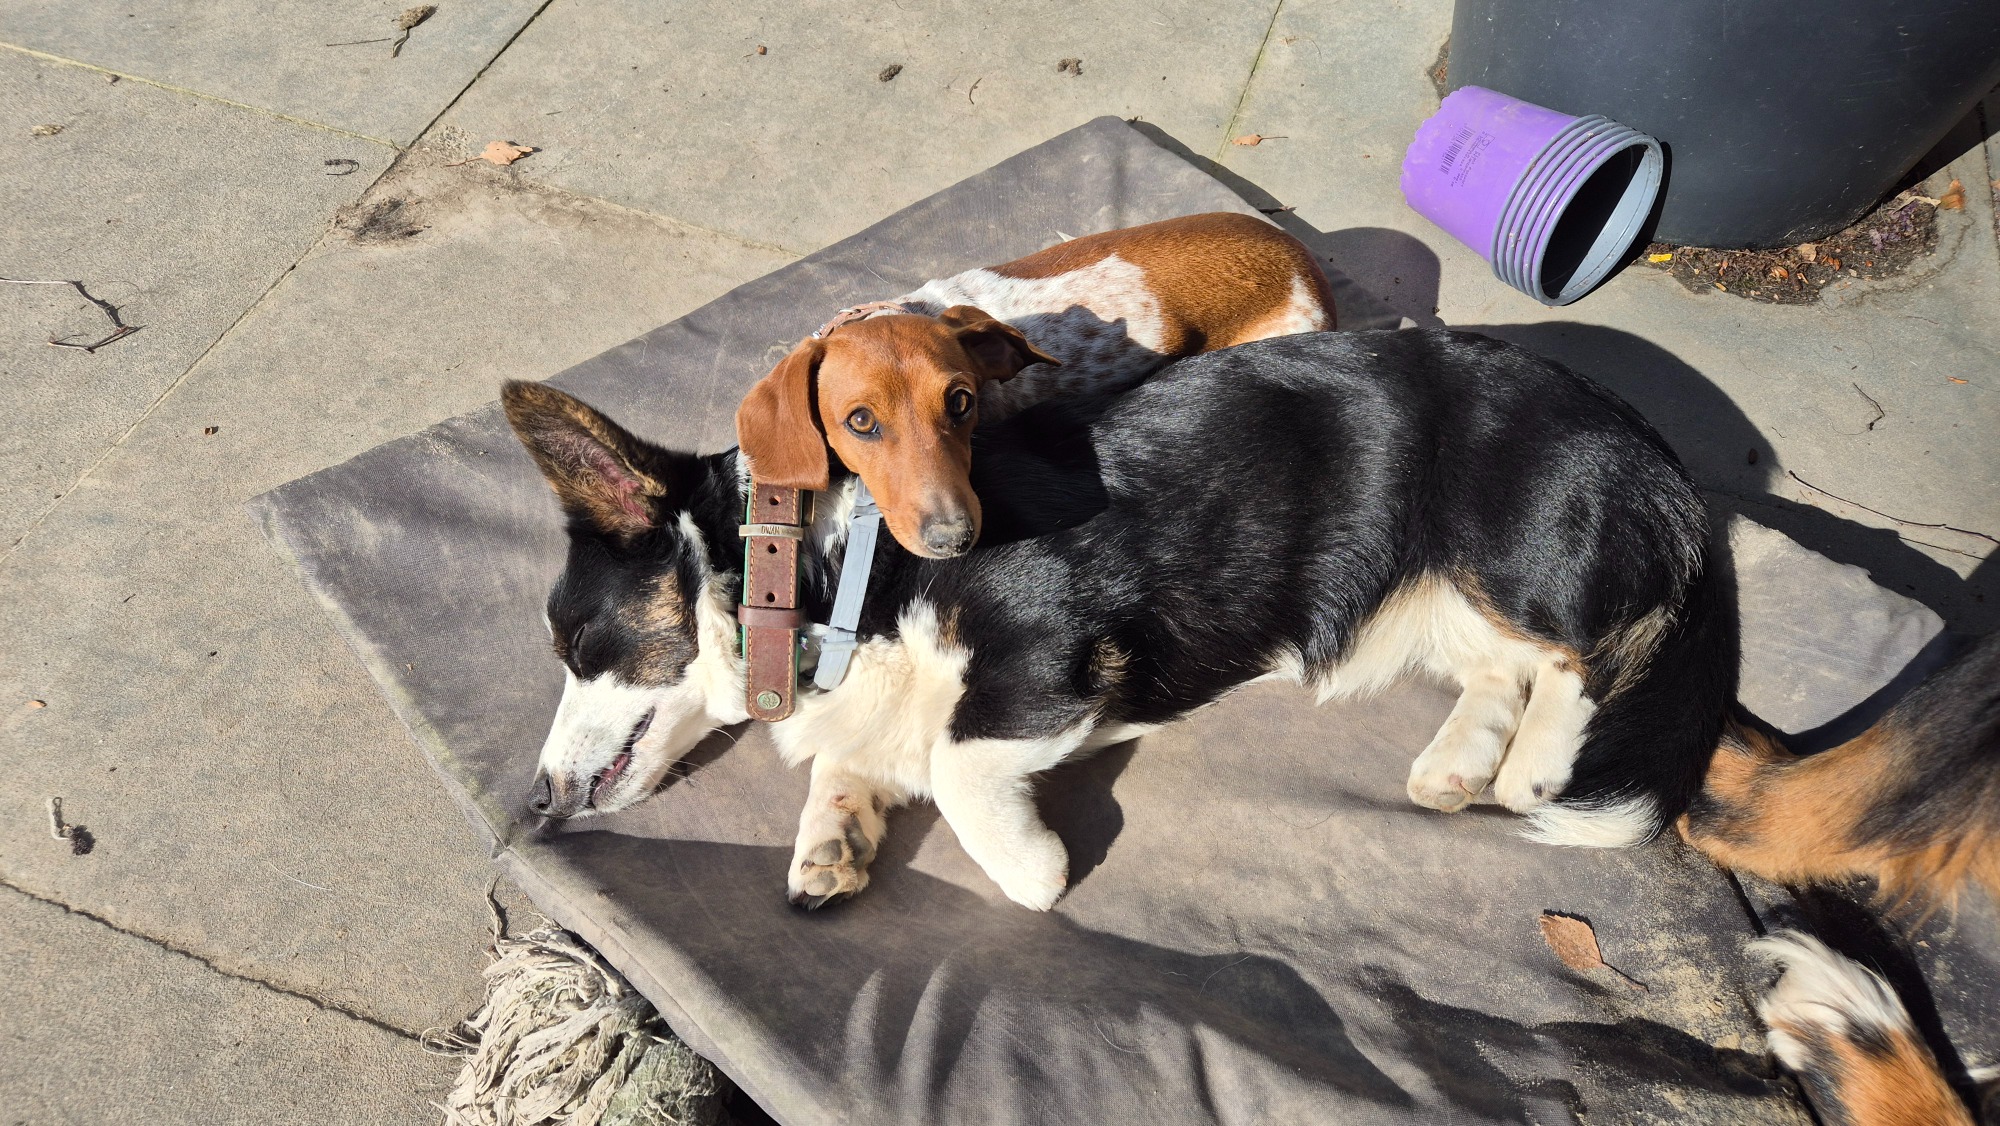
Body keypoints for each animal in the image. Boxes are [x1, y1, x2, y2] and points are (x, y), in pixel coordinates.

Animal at [505, 328, 1736, 910]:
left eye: (580, 646)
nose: (536, 803)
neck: (819, 569)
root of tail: (1650, 448)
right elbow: (860, 762)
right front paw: (828, 848)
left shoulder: (1054, 637)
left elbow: (955, 761)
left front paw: (1030, 871)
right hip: (1444, 601)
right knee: (1502, 669)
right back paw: (1455, 764)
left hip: (1504, 549)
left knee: (1589, 650)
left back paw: (1530, 771)